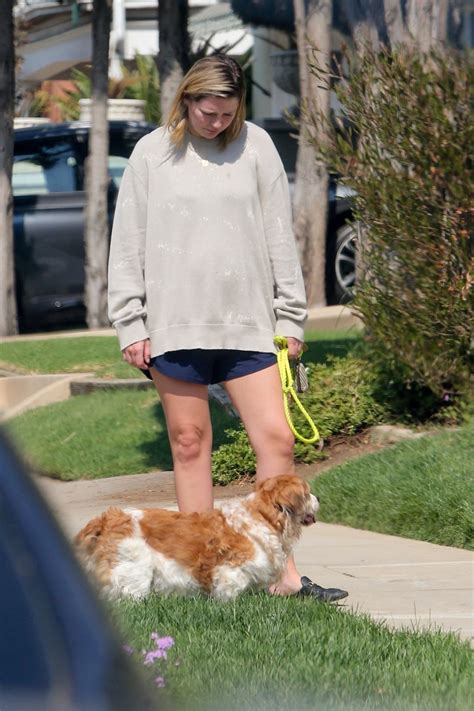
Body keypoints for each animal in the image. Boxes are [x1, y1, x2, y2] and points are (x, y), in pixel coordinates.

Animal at [75, 478, 318, 600]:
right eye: (307, 493)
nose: (318, 498)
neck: (262, 516)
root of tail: (108, 519)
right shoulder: (230, 572)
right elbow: (228, 596)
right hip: (134, 572)